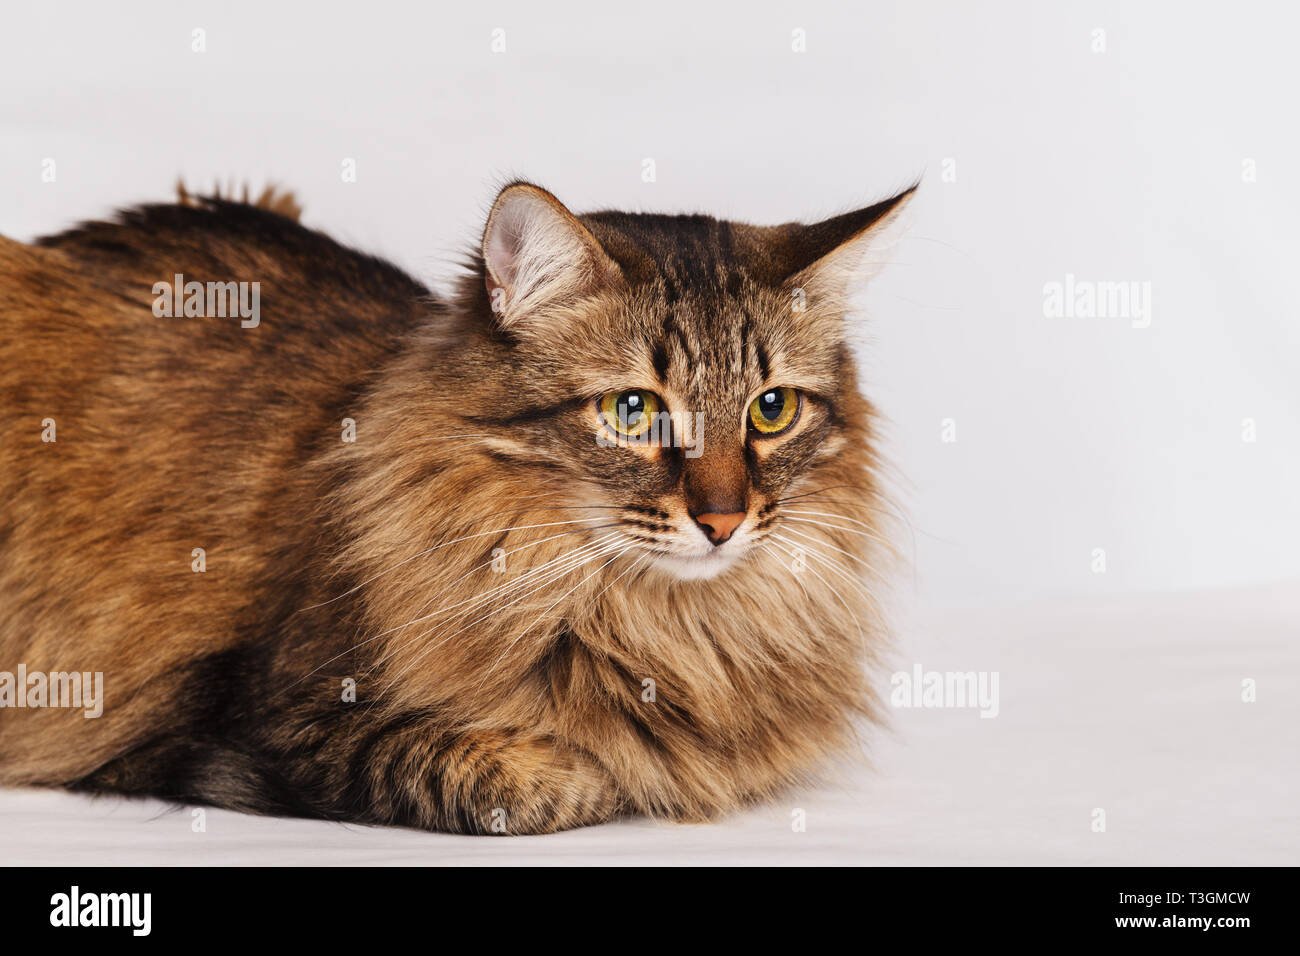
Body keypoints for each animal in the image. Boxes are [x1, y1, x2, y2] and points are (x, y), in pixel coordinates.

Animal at [0, 180, 915, 837]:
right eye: (632, 411)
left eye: (771, 410)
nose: (723, 522)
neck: (661, 625)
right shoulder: (260, 720)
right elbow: (536, 780)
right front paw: (604, 771)